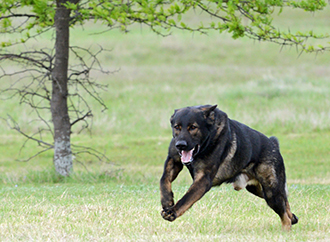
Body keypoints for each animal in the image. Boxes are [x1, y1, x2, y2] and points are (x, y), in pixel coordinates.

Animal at [160, 104, 300, 231]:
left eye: (193, 127)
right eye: (177, 127)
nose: (180, 145)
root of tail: (274, 144)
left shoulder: (203, 180)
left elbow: (187, 198)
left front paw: (172, 211)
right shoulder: (173, 160)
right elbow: (164, 179)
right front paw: (167, 201)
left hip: (271, 193)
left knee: (284, 214)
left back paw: (285, 230)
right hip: (259, 190)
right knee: (285, 204)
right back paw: (293, 217)